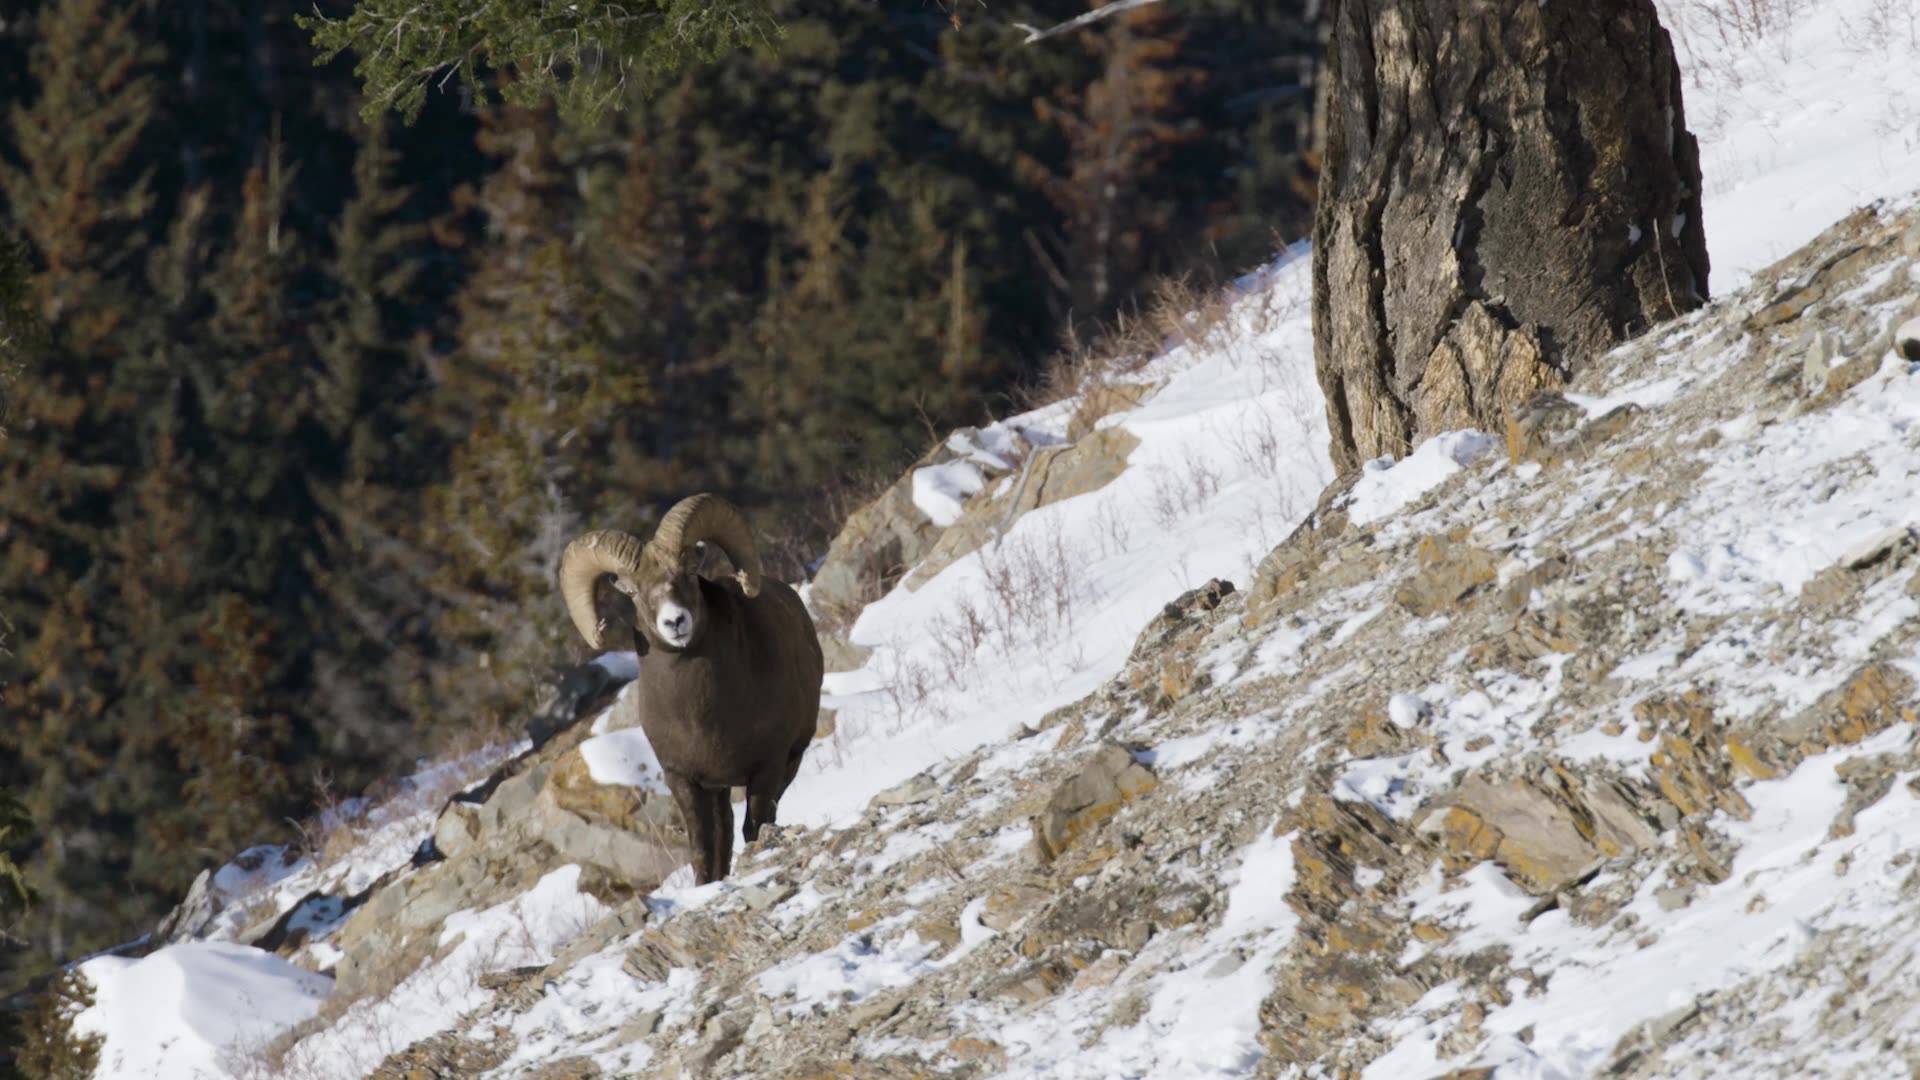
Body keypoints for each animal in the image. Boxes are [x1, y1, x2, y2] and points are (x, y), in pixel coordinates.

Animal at [558, 494, 824, 884]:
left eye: (685, 574)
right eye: (633, 590)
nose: (675, 622)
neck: (701, 715)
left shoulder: (768, 766)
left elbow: (756, 827)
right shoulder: (684, 780)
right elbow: (703, 847)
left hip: (790, 761)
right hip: (719, 789)